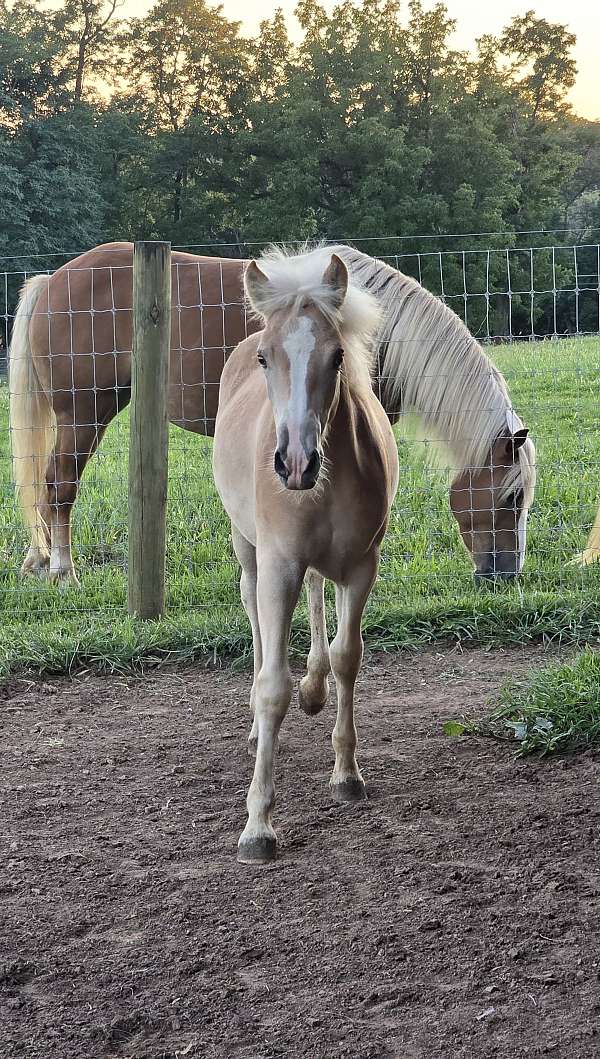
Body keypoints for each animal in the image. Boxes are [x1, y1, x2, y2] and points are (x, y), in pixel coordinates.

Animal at [8, 241, 536, 583]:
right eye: (511, 498)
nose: (506, 575)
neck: (382, 331)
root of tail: (53, 281)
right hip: (83, 413)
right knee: (59, 485)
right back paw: (62, 570)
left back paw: (38, 561)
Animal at [213, 247, 399, 863]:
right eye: (266, 358)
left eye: (337, 354)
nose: (295, 462)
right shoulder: (279, 566)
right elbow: (273, 688)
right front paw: (258, 827)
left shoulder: (362, 566)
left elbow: (347, 657)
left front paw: (346, 774)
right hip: (249, 550)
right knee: (253, 612)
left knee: (319, 603)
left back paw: (315, 690)